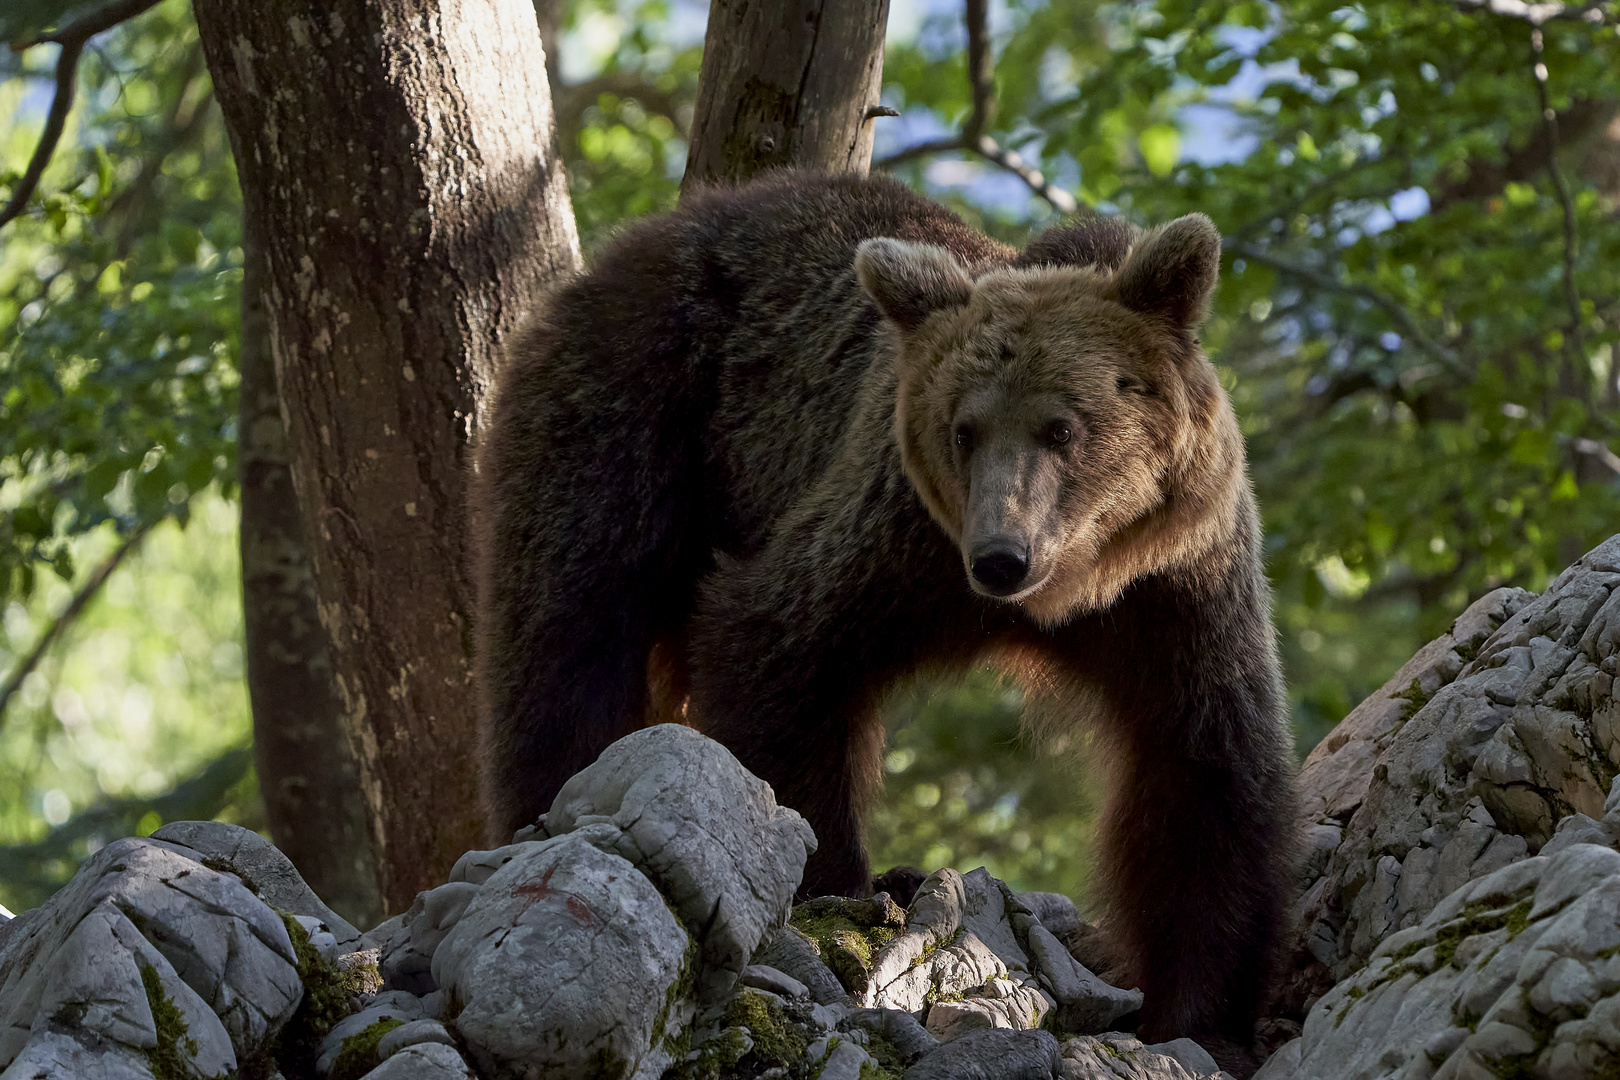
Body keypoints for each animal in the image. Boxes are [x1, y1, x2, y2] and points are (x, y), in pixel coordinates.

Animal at [469, 170, 1289, 1055]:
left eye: (1062, 427)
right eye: (964, 429)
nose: (1000, 557)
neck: (1068, 588)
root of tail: (657, 228)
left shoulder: (1175, 587)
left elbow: (1202, 771)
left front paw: (1203, 1013)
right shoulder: (894, 539)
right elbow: (781, 645)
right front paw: (833, 884)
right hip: (641, 399)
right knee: (573, 615)